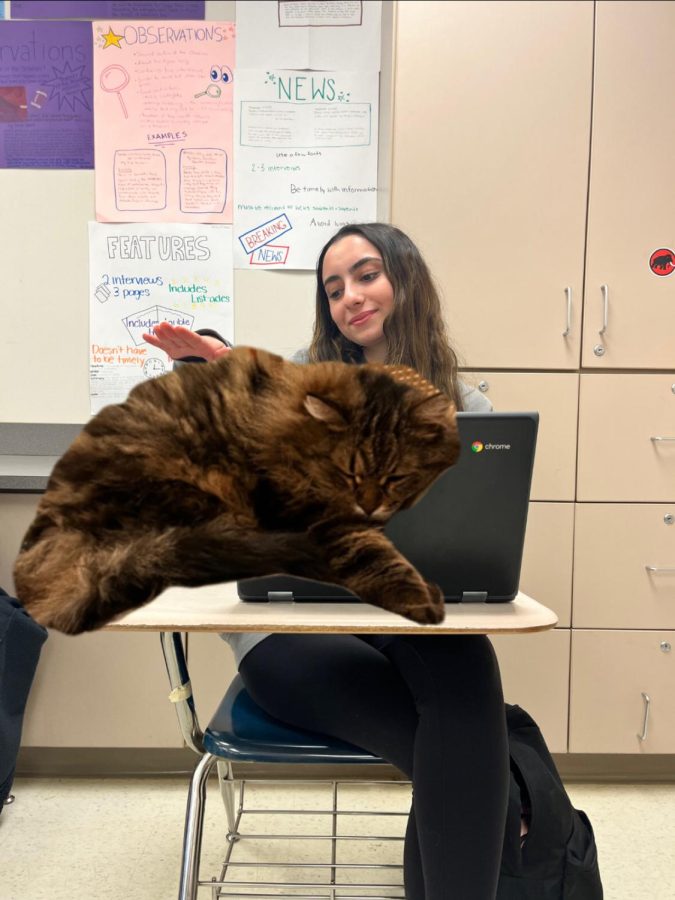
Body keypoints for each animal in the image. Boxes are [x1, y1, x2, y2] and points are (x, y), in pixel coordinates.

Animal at [14, 344, 460, 632]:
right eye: (348, 473)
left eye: (395, 478)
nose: (369, 507)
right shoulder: (321, 520)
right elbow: (381, 560)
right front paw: (424, 602)